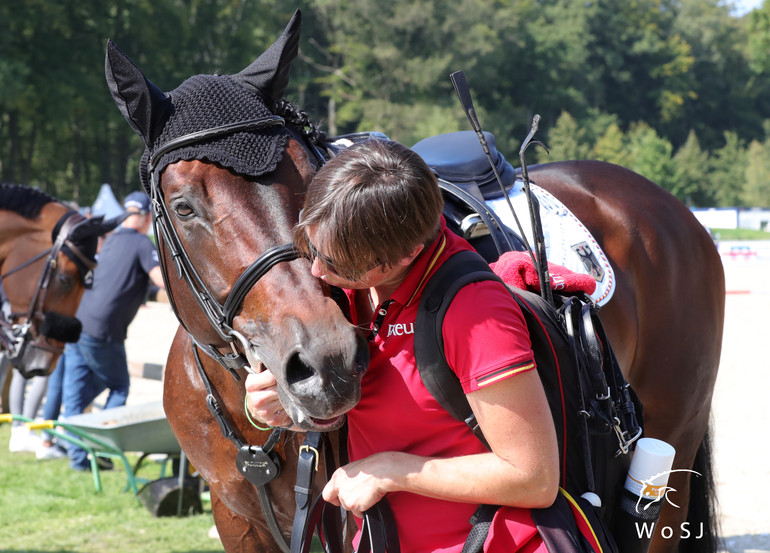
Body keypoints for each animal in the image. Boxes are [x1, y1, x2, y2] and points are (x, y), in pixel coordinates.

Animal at [103, 10, 720, 552]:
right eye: (184, 206)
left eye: (309, 180)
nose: (326, 363)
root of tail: (673, 211)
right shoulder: (238, 520)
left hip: (672, 458)